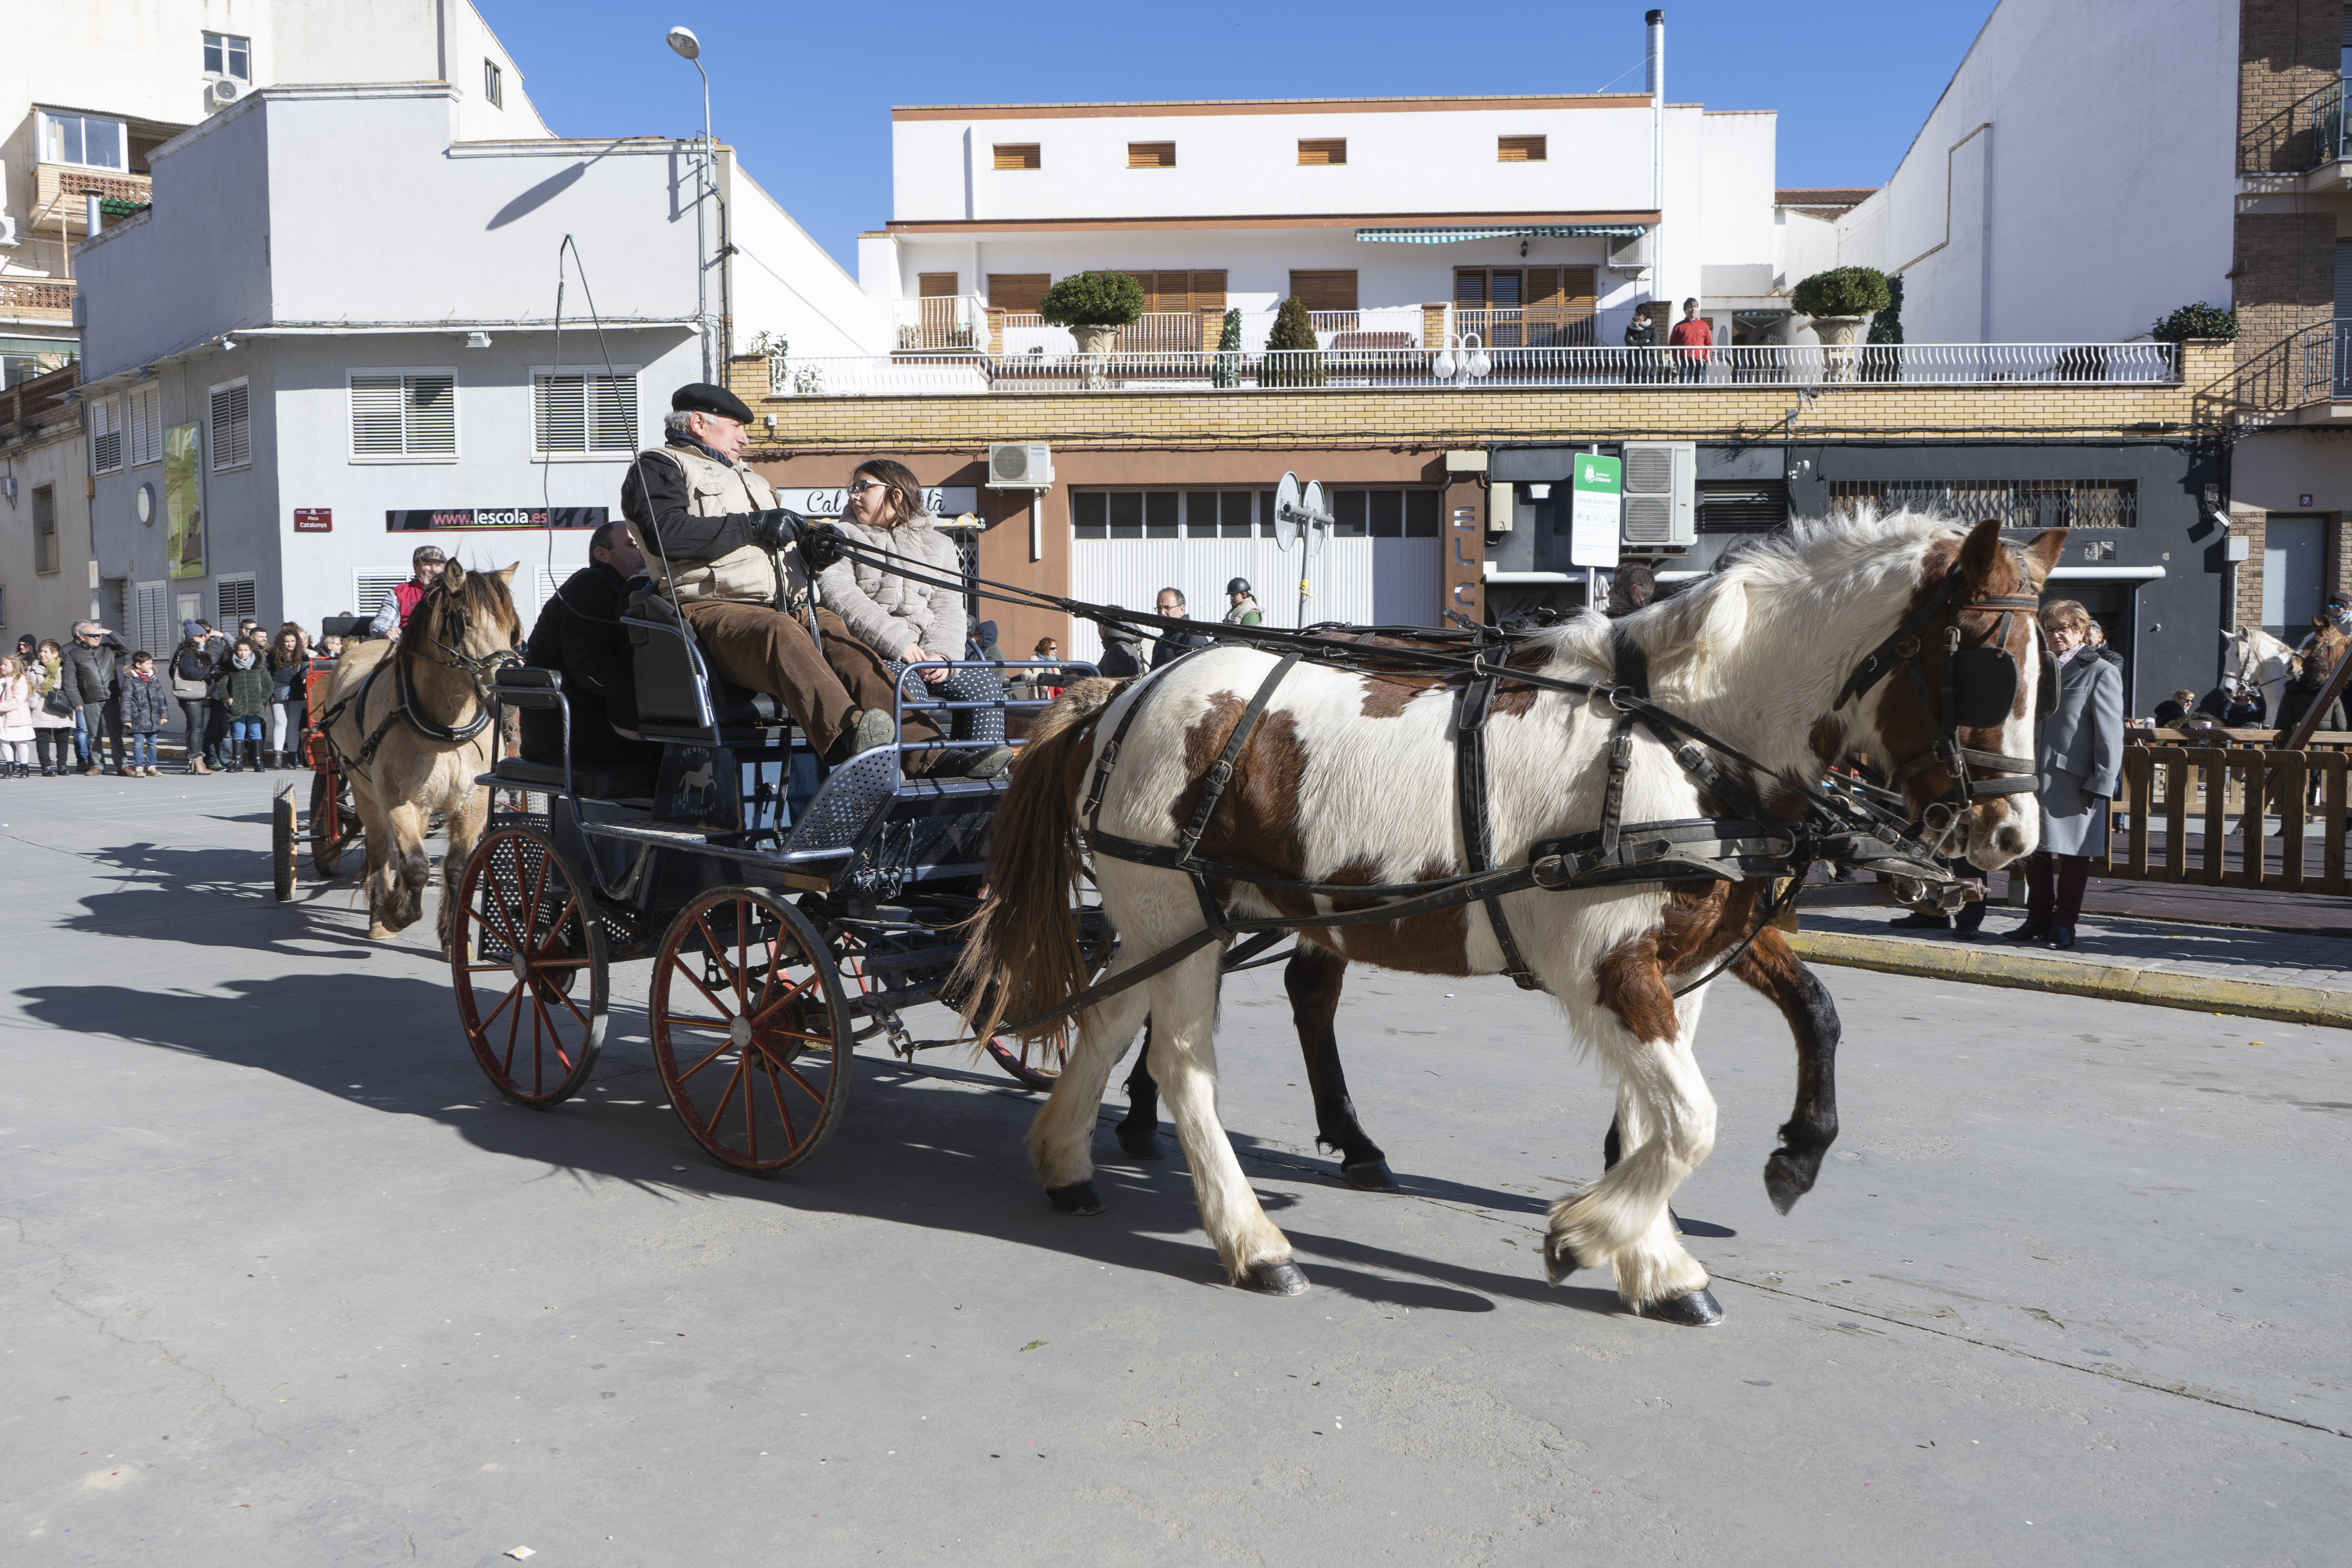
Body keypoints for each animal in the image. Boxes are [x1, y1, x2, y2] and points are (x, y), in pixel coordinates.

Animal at [317, 562, 523, 946]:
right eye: (464, 619)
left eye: (513, 626)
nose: (509, 690)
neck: (446, 728)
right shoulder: (399, 800)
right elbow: (415, 866)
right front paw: (395, 914)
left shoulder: (472, 802)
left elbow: (457, 868)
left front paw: (455, 938)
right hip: (365, 791)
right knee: (380, 850)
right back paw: (379, 915)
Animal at [959, 514, 2062, 1323]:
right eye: (1985, 663)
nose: (2013, 836)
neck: (1684, 739)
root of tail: (1122, 692)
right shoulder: (1606, 963)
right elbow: (1691, 1119)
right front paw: (1589, 1235)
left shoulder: (1687, 957)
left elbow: (1672, 1106)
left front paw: (1657, 1256)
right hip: (1178, 910)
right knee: (1184, 1063)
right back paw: (1252, 1239)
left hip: (1165, 922)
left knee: (1110, 1018)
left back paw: (1067, 1161)